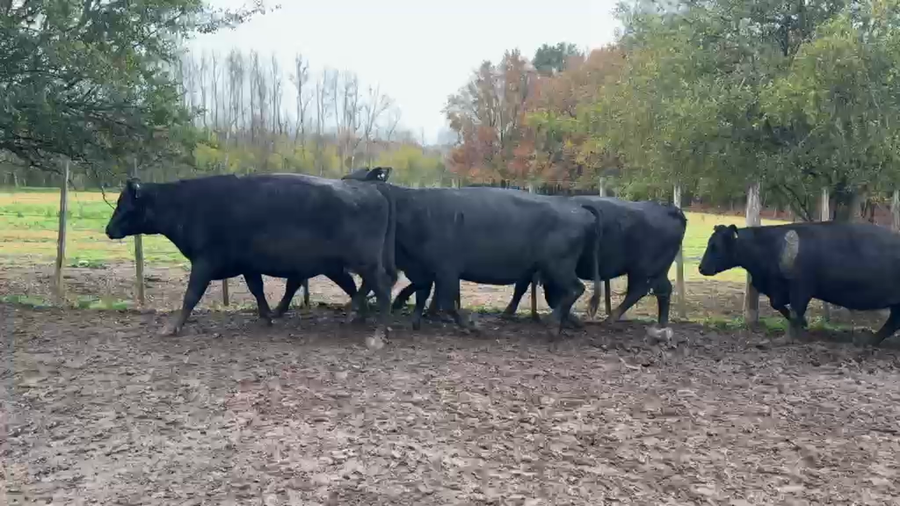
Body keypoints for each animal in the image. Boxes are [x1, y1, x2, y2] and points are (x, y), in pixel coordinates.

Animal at [104, 173, 397, 345]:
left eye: (123, 204)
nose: (108, 230)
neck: (187, 206)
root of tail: (372, 190)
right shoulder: (248, 265)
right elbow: (257, 289)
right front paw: (267, 316)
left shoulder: (205, 261)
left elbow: (191, 295)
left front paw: (171, 327)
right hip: (337, 265)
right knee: (356, 287)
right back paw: (358, 317)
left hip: (366, 262)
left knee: (383, 289)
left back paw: (378, 335)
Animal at [343, 167, 603, 335]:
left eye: (352, 181)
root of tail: (580, 209)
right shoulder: (424, 268)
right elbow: (422, 293)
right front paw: (415, 321)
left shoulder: (446, 269)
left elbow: (447, 301)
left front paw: (469, 326)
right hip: (550, 269)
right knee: (559, 293)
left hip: (559, 265)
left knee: (575, 289)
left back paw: (553, 323)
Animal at [698, 221, 900, 346]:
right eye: (709, 243)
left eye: (716, 246)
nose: (701, 268)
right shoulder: (779, 289)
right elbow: (778, 304)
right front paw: (803, 324)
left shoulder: (800, 288)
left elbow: (796, 310)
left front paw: (788, 337)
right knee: (892, 322)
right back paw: (868, 341)